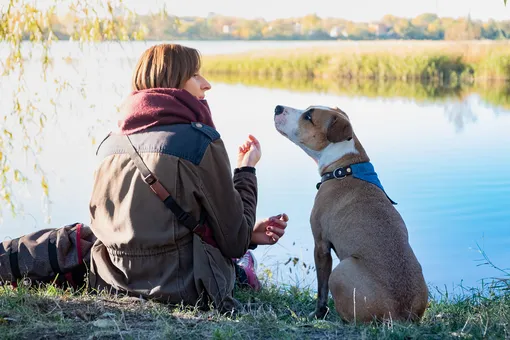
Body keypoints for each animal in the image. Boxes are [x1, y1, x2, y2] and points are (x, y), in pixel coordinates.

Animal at [272, 105, 428, 322]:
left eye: (309, 116)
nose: (278, 107)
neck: (343, 167)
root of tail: (401, 314)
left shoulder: (321, 245)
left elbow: (321, 290)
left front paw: (318, 314)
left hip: (341, 270)